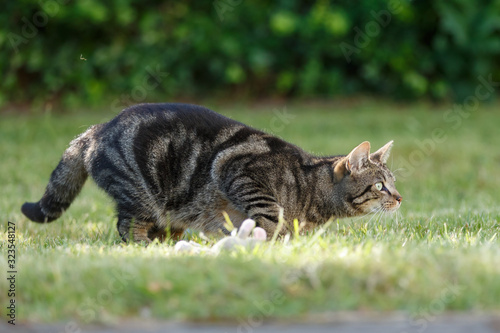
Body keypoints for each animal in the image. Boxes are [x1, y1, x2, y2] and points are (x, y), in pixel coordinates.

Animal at [21, 102, 402, 243]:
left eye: (393, 184)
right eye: (380, 186)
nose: (399, 198)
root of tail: (97, 129)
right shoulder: (238, 169)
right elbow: (268, 214)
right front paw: (263, 239)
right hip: (140, 194)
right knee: (127, 227)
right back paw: (145, 247)